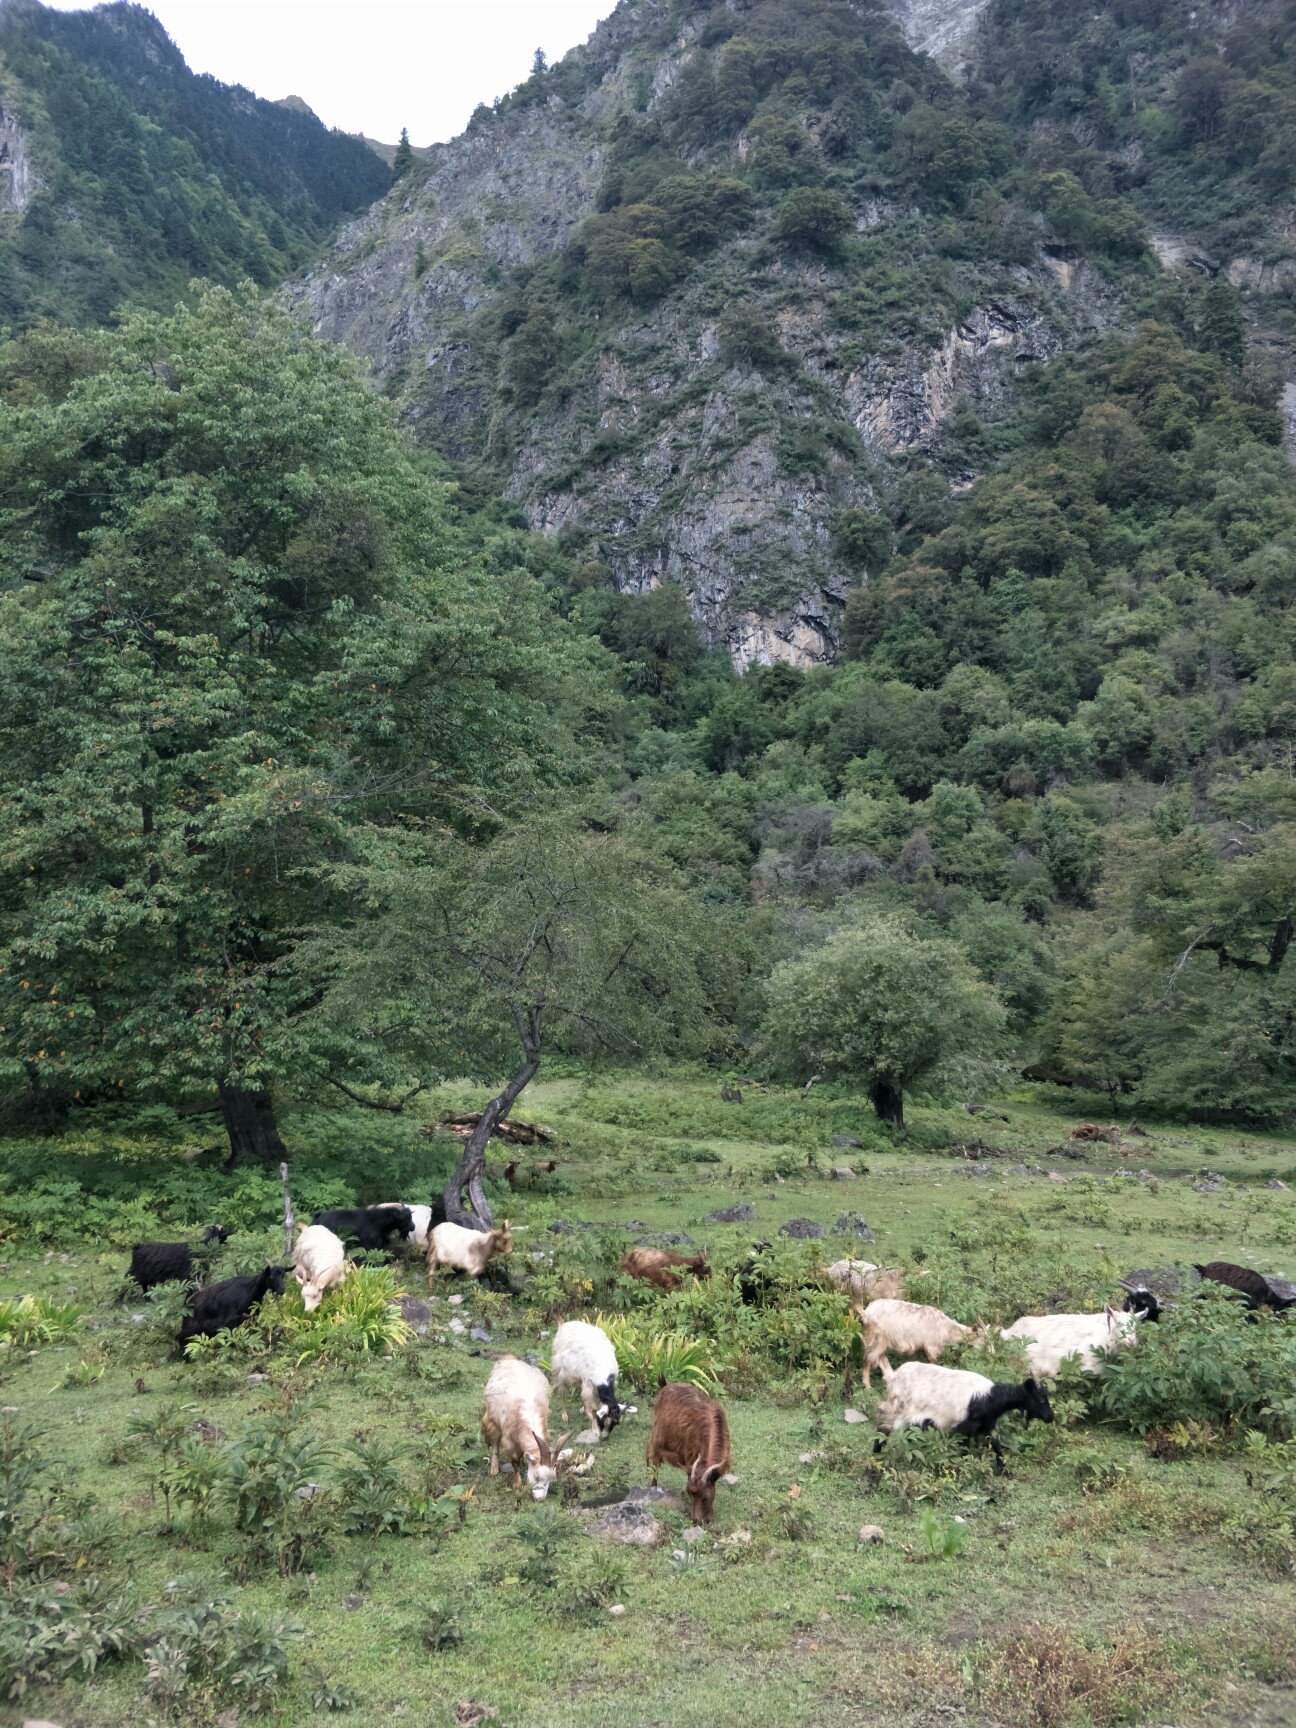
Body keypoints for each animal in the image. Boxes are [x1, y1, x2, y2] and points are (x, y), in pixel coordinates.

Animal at [483, 1347, 566, 1499]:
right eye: (537, 1476)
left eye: (550, 1480)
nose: (540, 1499)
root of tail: (510, 1359)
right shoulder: (509, 1439)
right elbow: (514, 1461)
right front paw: (517, 1484)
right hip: (492, 1417)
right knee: (495, 1440)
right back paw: (494, 1468)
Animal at [646, 1375, 732, 1527]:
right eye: (690, 1493)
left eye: (705, 1497)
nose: (695, 1521)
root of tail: (665, 1386)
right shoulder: (690, 1458)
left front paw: (709, 1516)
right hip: (657, 1437)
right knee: (654, 1463)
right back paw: (653, 1488)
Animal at [874, 1354, 1057, 1465]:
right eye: (1041, 1399)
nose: (1050, 1417)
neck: (991, 1397)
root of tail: (893, 1376)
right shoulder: (965, 1426)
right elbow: (965, 1449)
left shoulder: (987, 1424)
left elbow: (996, 1445)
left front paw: (1004, 1470)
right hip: (896, 1409)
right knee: (882, 1428)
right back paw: (876, 1455)